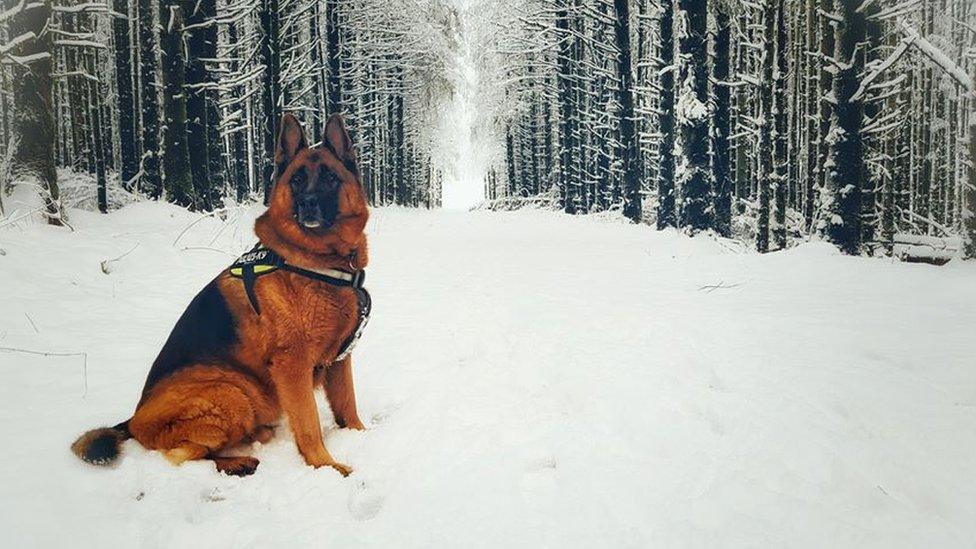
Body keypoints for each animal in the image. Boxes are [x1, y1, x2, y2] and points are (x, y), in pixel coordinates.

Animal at [71, 112, 370, 476]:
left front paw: (363, 435)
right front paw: (326, 466)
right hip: (232, 392)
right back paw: (240, 461)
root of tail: (133, 421)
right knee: (182, 456)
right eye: (297, 180)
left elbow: (348, 406)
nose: (308, 204)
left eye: (329, 177)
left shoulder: (341, 359)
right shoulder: (292, 366)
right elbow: (309, 424)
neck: (317, 262)